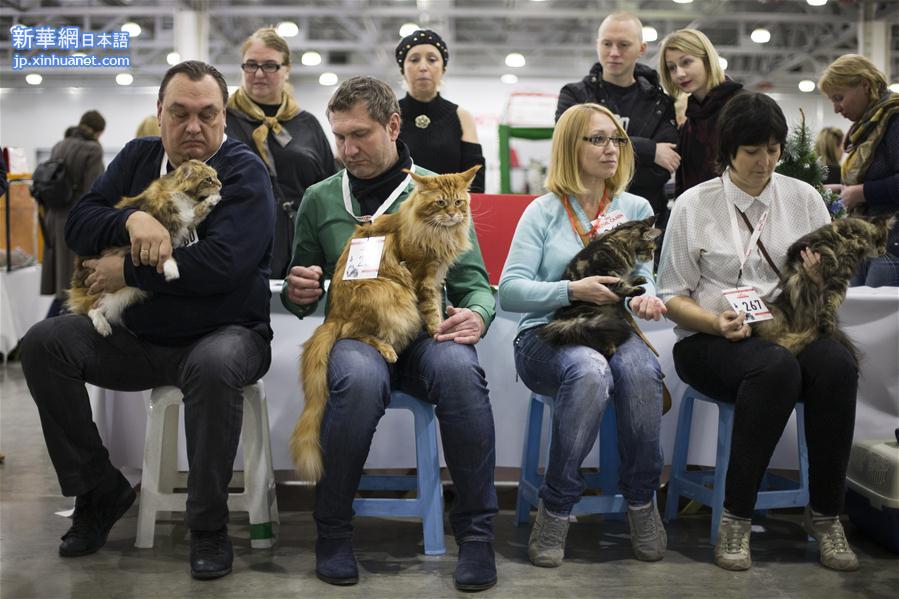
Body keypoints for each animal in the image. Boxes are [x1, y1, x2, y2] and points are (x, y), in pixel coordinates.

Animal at [65, 159, 221, 338]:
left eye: (216, 176)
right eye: (208, 179)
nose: (221, 184)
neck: (178, 194)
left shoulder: (185, 220)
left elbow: (198, 210)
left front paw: (214, 199)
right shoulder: (158, 232)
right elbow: (166, 252)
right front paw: (171, 271)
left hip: (124, 294)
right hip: (101, 292)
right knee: (89, 308)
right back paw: (102, 327)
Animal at [292, 165, 482, 482]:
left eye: (459, 202)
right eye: (440, 203)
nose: (453, 215)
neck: (436, 231)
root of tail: (334, 315)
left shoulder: (435, 276)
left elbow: (438, 308)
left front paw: (446, 325)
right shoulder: (421, 277)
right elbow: (430, 310)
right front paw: (436, 330)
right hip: (386, 293)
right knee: (351, 333)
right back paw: (387, 349)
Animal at [540, 216, 660, 356]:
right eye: (651, 249)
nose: (651, 257)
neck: (619, 241)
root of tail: (562, 320)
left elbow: (625, 278)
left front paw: (637, 279)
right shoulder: (605, 271)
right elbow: (619, 284)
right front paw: (635, 289)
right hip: (592, 317)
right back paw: (609, 348)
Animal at [756, 214, 896, 360]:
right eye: (883, 239)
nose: (884, 251)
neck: (856, 241)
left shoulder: (840, 279)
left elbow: (831, 302)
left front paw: (827, 323)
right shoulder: (806, 244)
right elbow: (824, 249)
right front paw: (831, 265)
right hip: (772, 314)